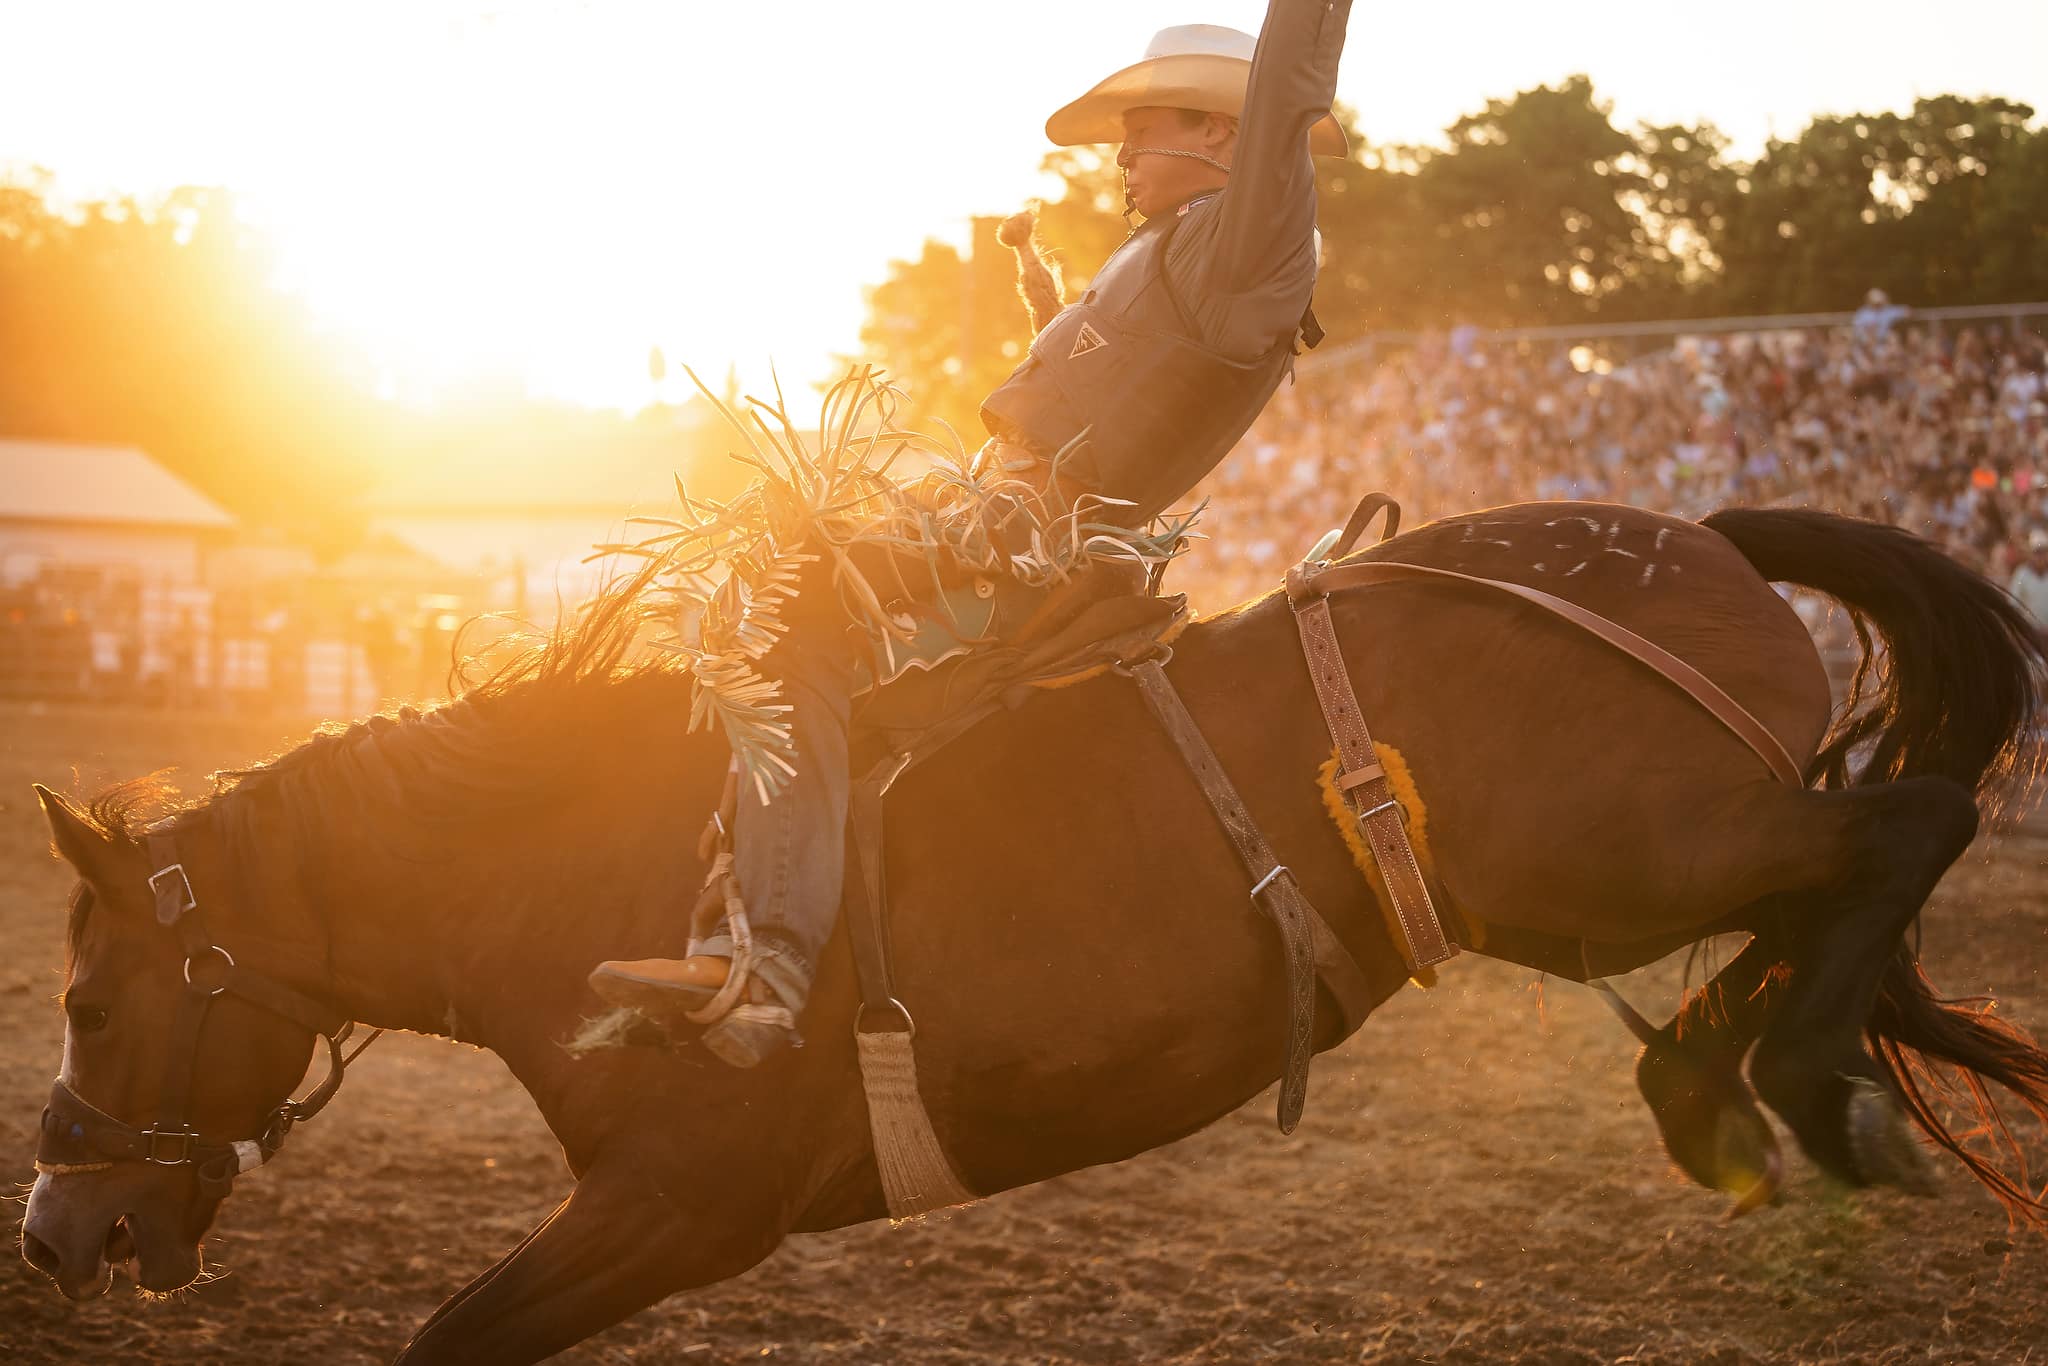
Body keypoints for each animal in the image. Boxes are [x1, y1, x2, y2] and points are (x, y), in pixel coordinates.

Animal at [16, 497, 2048, 1359]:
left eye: (96, 1002)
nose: (52, 1230)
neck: (587, 860)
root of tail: (1690, 538)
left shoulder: (681, 1202)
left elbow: (453, 1333)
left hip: (1619, 860)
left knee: (1906, 824)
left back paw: (1802, 1083)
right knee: (1823, 892)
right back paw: (1736, 1096)